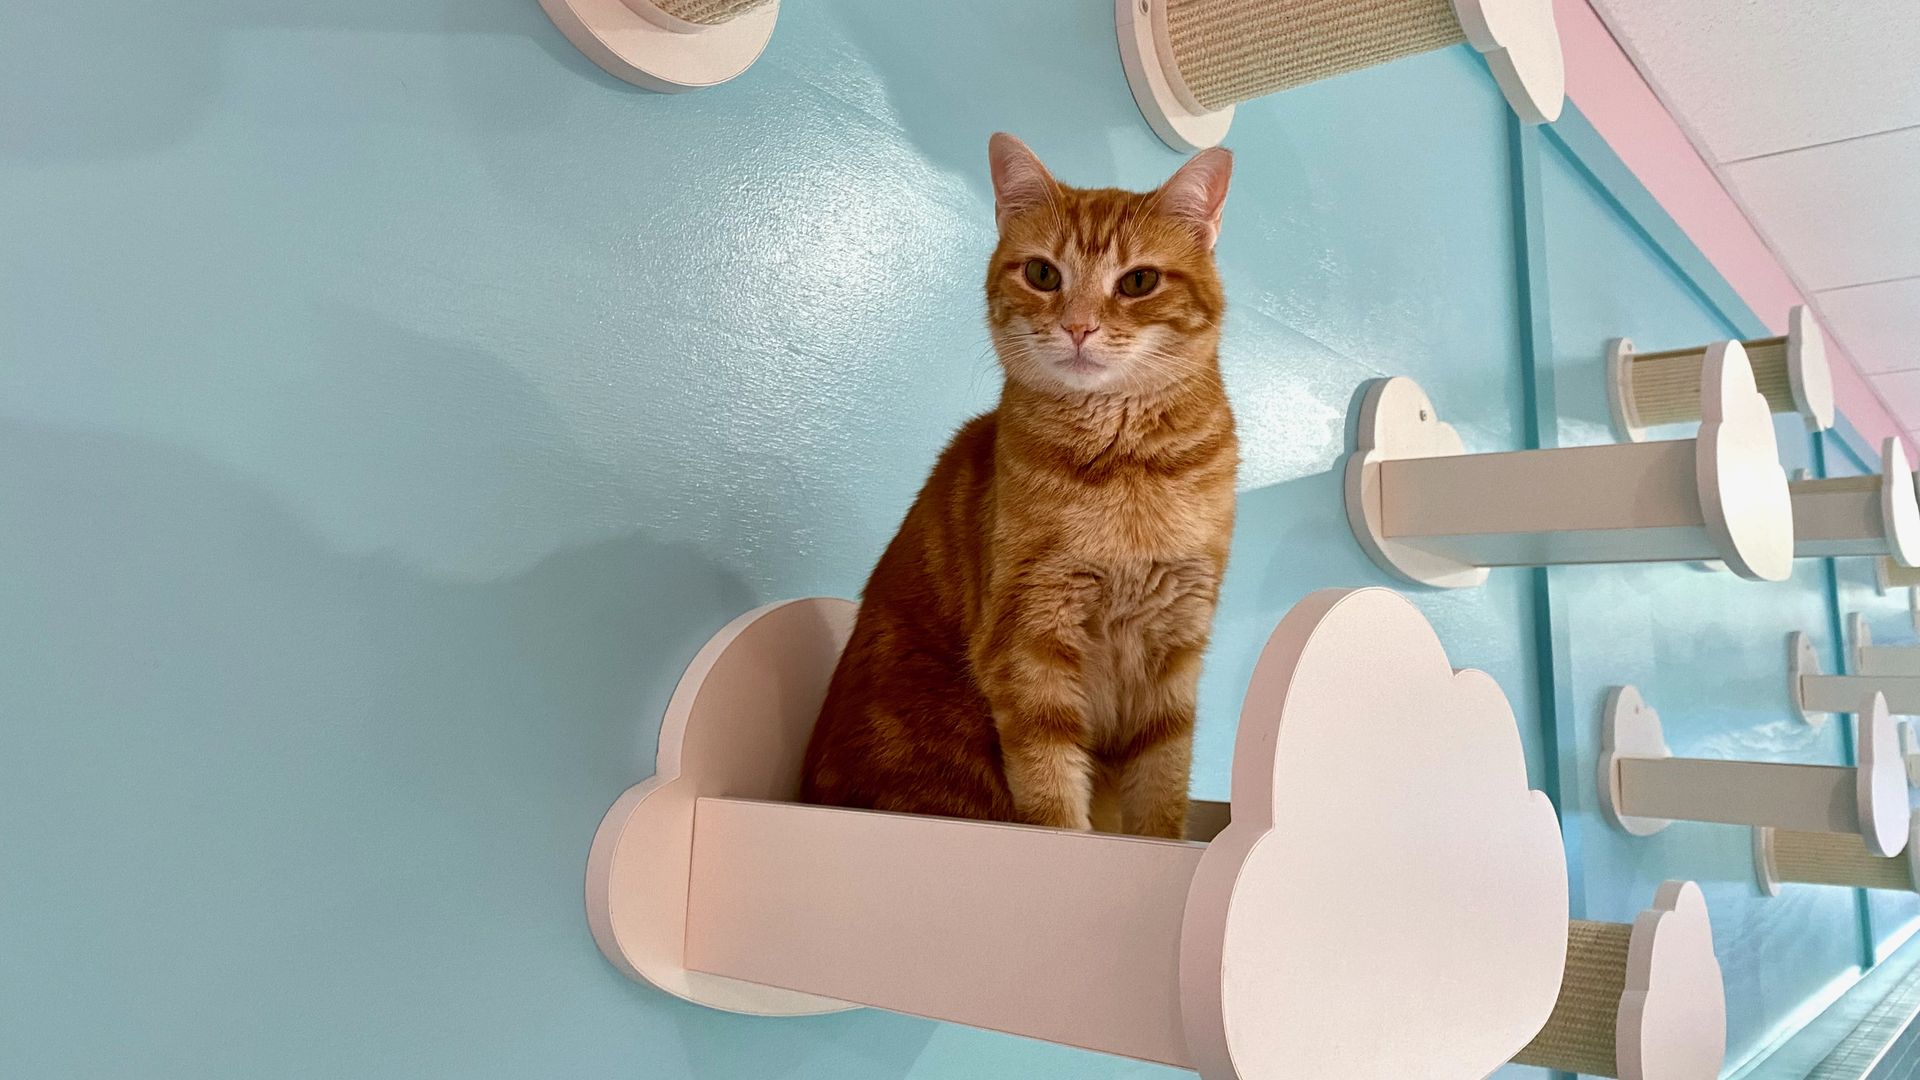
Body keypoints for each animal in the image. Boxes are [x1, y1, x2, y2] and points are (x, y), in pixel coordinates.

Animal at [798, 134, 1236, 837]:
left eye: (1138, 281)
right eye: (1043, 275)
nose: (1079, 327)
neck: (1128, 474)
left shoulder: (1175, 642)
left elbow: (1161, 789)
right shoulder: (1029, 640)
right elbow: (1052, 791)